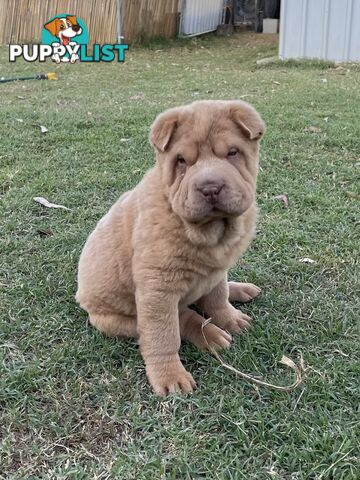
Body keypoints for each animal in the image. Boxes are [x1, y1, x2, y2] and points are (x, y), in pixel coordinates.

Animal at [76, 99, 264, 396]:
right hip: (116, 318)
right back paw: (210, 335)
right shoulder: (158, 288)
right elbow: (163, 336)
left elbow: (217, 297)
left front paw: (231, 318)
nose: (210, 187)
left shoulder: (217, 268)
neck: (209, 232)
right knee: (182, 318)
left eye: (233, 153)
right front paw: (169, 376)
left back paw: (240, 290)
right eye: (181, 161)